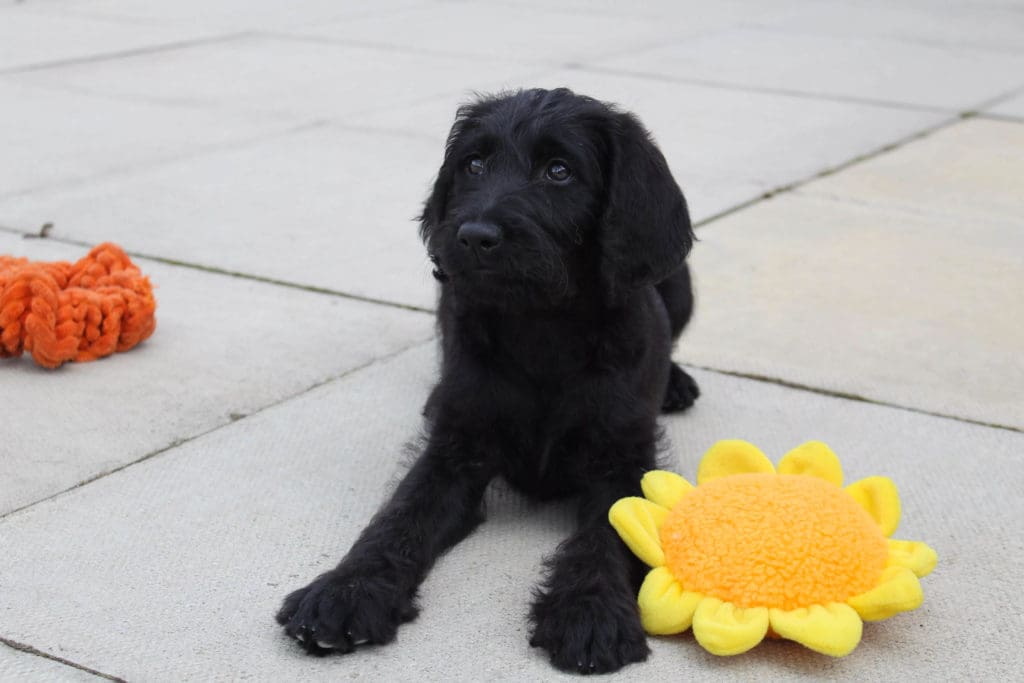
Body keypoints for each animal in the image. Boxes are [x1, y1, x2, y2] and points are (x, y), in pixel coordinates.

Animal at [276, 88, 700, 675]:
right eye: (473, 164)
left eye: (559, 171)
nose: (474, 236)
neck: (542, 327)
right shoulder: (455, 452)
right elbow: (399, 517)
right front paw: (345, 590)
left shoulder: (623, 460)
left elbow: (607, 534)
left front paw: (589, 610)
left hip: (679, 284)